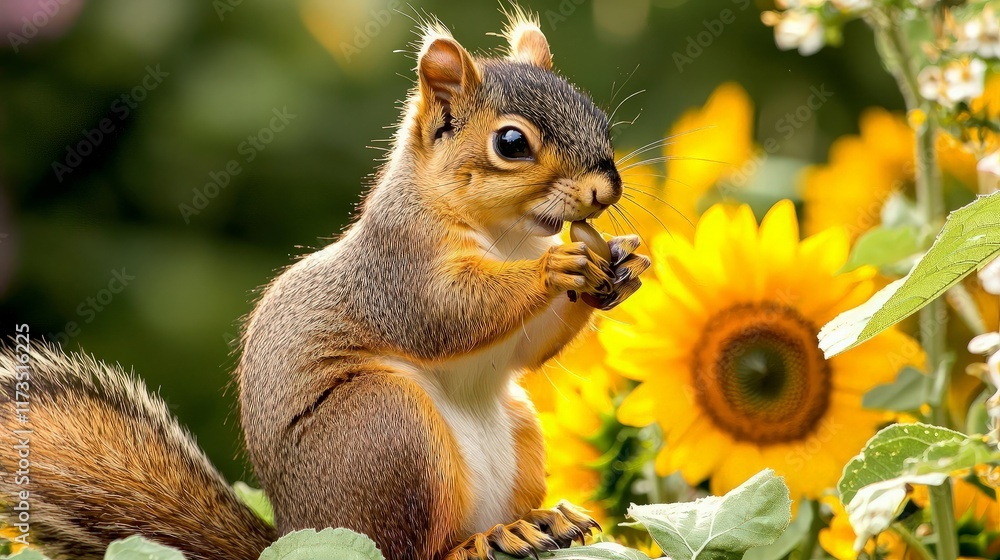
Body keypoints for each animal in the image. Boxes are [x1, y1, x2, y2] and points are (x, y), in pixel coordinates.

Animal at [0, 9, 650, 560]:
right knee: (413, 549)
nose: (605, 190)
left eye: (598, 117)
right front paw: (555, 268)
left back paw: (536, 522)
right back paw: (481, 541)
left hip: (515, 426)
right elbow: (450, 314)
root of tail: (298, 533)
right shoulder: (397, 272)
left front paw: (619, 267)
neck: (507, 236)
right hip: (387, 430)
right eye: (511, 143)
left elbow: (525, 347)